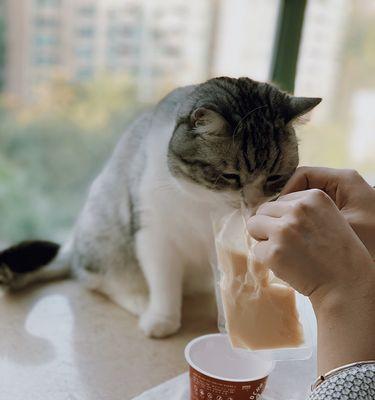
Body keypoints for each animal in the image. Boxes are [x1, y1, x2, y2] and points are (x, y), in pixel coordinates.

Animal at [0, 76, 324, 336]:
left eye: (274, 178)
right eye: (231, 176)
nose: (253, 204)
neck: (201, 202)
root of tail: (74, 243)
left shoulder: (220, 244)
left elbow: (227, 279)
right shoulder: (154, 234)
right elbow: (163, 281)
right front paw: (162, 319)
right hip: (107, 232)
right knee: (97, 278)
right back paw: (139, 302)